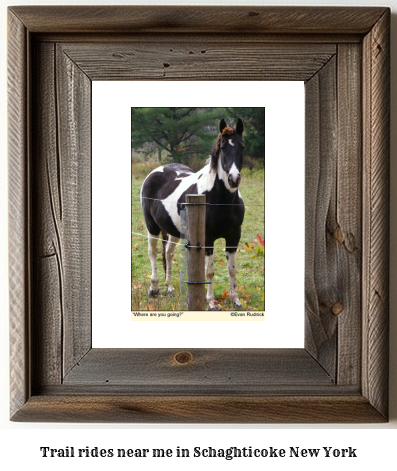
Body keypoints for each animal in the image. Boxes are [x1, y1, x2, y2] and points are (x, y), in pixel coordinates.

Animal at [139, 118, 244, 312]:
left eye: (242, 146)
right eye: (223, 147)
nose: (234, 179)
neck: (220, 199)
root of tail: (157, 171)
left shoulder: (234, 236)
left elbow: (232, 269)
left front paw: (236, 300)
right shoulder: (207, 238)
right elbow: (209, 271)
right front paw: (211, 303)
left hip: (174, 229)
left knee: (168, 252)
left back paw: (170, 288)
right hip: (152, 227)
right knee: (153, 253)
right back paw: (154, 289)